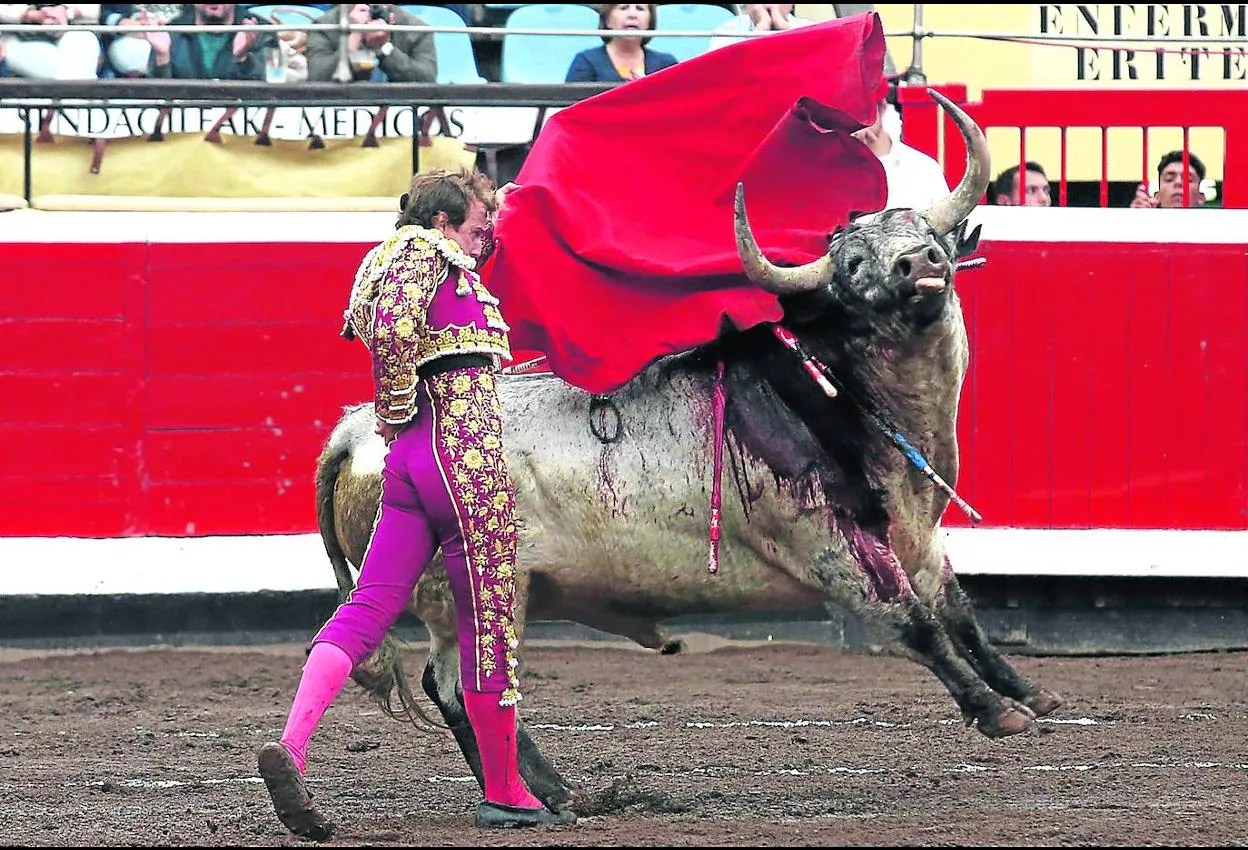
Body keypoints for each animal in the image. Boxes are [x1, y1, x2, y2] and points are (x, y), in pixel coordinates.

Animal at [312, 89, 1063, 813]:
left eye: (926, 233)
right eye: (853, 264)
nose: (920, 263)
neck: (839, 398)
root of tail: (359, 430)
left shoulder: (919, 539)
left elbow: (961, 615)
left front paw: (1032, 693)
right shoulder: (830, 551)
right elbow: (915, 626)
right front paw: (997, 712)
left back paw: (555, 794)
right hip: (474, 593)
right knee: (461, 686)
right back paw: (549, 794)